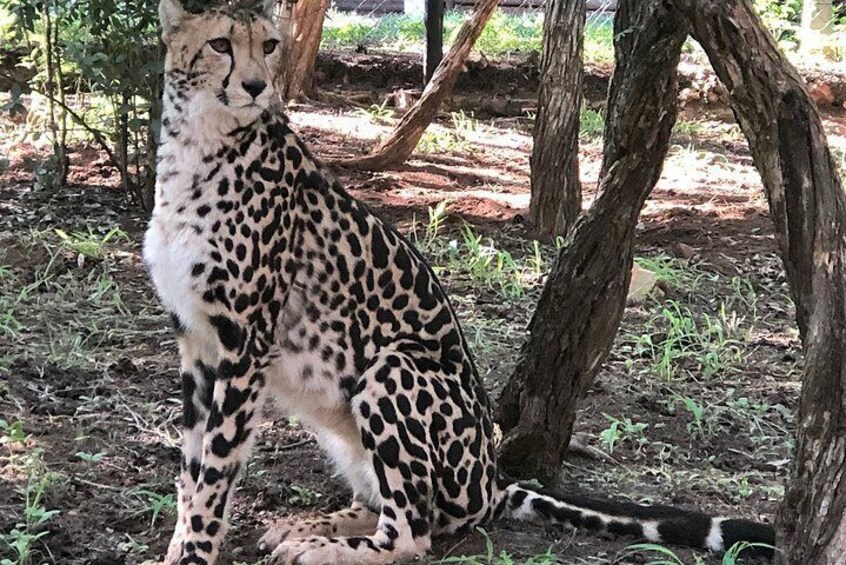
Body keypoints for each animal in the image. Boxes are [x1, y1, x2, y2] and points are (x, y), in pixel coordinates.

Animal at [142, 2, 780, 560]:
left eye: (269, 46)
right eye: (220, 44)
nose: (256, 86)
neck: (198, 148)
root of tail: (492, 476)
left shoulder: (245, 347)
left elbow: (214, 473)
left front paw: (195, 553)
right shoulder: (197, 343)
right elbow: (191, 468)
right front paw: (177, 549)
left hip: (393, 366)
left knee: (413, 531)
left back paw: (320, 546)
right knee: (394, 507)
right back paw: (313, 523)